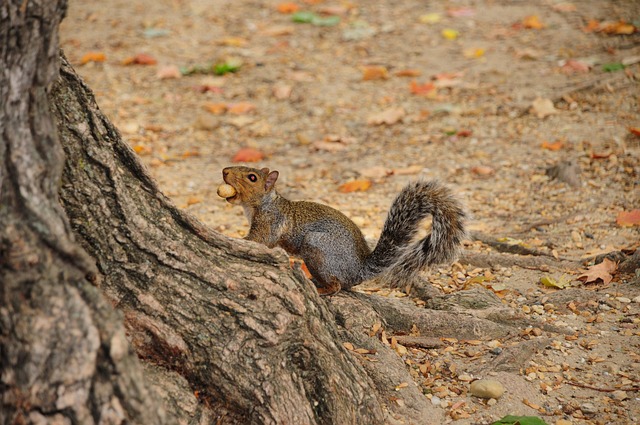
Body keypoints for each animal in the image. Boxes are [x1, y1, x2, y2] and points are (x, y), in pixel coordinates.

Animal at [219, 166, 465, 295]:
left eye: (252, 178)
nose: (224, 171)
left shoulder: (270, 222)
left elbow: (259, 240)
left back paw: (322, 288)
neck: (263, 203)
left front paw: (232, 238)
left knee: (337, 285)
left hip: (317, 247)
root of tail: (359, 269)